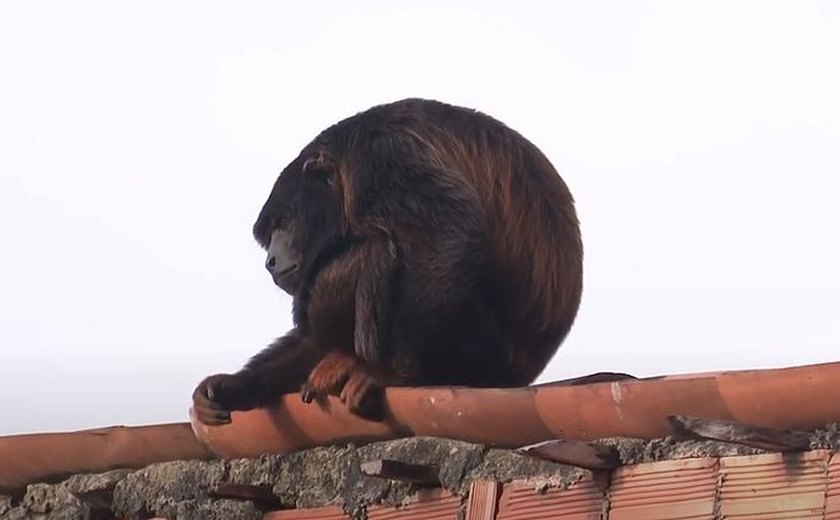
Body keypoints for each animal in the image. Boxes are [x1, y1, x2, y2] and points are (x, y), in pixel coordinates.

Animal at [193, 98, 580, 426]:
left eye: (284, 222)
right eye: (269, 232)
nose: (271, 260)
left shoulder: (382, 158)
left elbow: (447, 233)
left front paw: (393, 376)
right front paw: (231, 387)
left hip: (477, 352)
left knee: (371, 252)